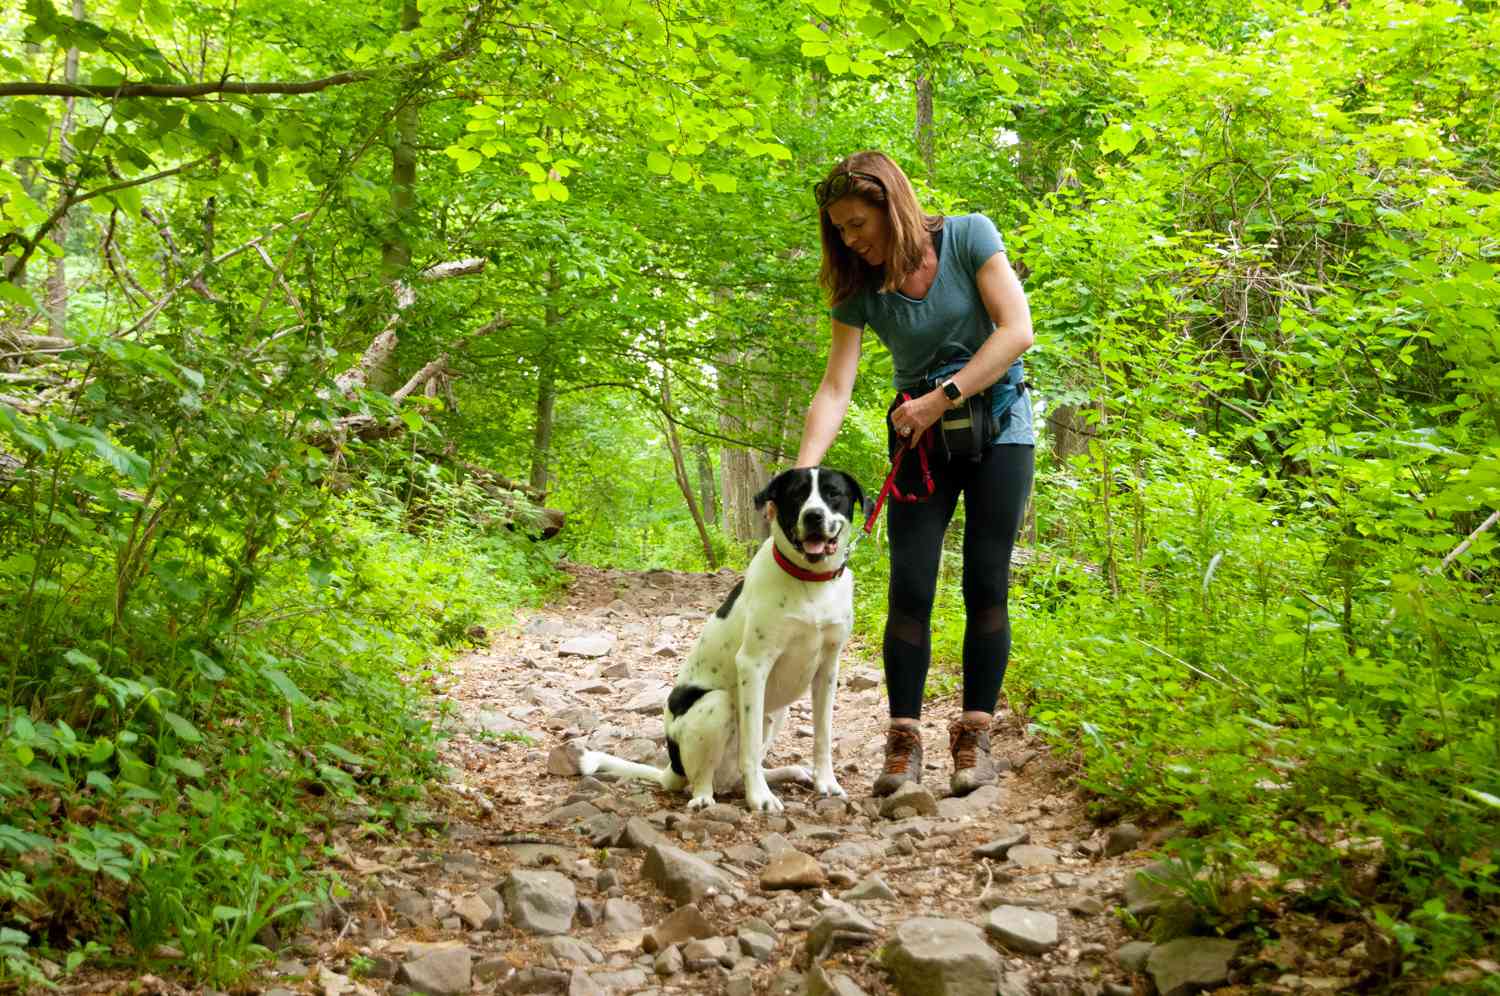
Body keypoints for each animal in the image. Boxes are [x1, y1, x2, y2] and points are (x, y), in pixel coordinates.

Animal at [585, 468, 870, 810]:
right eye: (797, 495)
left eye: (833, 493)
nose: (813, 516)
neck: (811, 582)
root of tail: (672, 768)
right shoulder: (753, 664)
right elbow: (750, 748)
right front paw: (759, 797)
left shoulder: (827, 669)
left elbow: (823, 736)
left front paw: (826, 782)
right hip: (715, 704)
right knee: (705, 777)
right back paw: (705, 798)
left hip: (776, 713)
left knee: (738, 771)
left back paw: (788, 773)